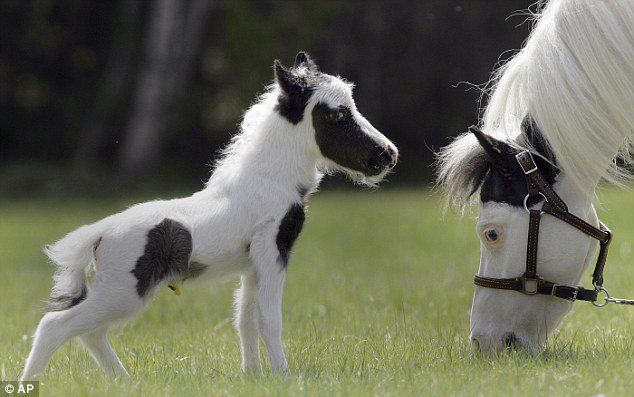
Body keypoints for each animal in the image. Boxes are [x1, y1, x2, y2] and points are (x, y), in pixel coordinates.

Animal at [21, 51, 396, 378]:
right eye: (336, 115)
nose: (388, 154)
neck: (267, 180)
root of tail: (99, 232)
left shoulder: (252, 264)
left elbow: (246, 319)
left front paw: (254, 375)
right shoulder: (273, 251)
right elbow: (269, 319)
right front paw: (284, 376)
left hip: (119, 292)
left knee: (90, 332)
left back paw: (126, 381)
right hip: (124, 290)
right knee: (55, 326)